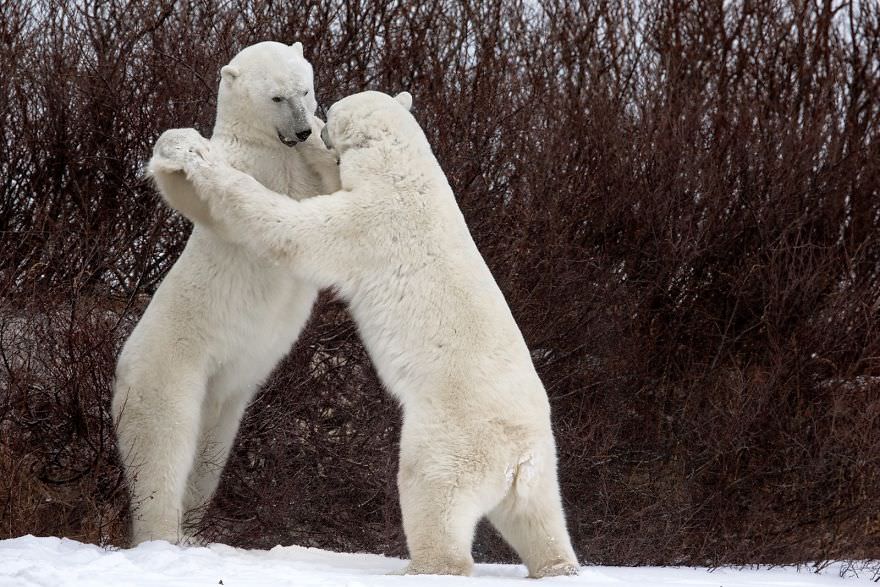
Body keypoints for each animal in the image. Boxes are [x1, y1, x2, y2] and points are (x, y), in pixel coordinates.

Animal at [112, 40, 340, 546]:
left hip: (228, 397)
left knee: (209, 456)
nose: (300, 129)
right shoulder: (245, 165)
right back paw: (163, 534)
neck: (271, 148)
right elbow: (196, 192)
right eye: (276, 97)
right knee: (163, 448)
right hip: (169, 372)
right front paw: (182, 146)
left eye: (305, 89)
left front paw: (328, 137)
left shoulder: (300, 171)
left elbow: (335, 190)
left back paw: (195, 529)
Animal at [148, 90, 580, 577]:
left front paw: (198, 158)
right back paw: (558, 565)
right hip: (542, 467)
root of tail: (517, 457)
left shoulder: (370, 223)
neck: (406, 173)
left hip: (451, 438)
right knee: (540, 518)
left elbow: (293, 229)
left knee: (432, 490)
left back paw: (422, 566)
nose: (316, 126)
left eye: (333, 111)